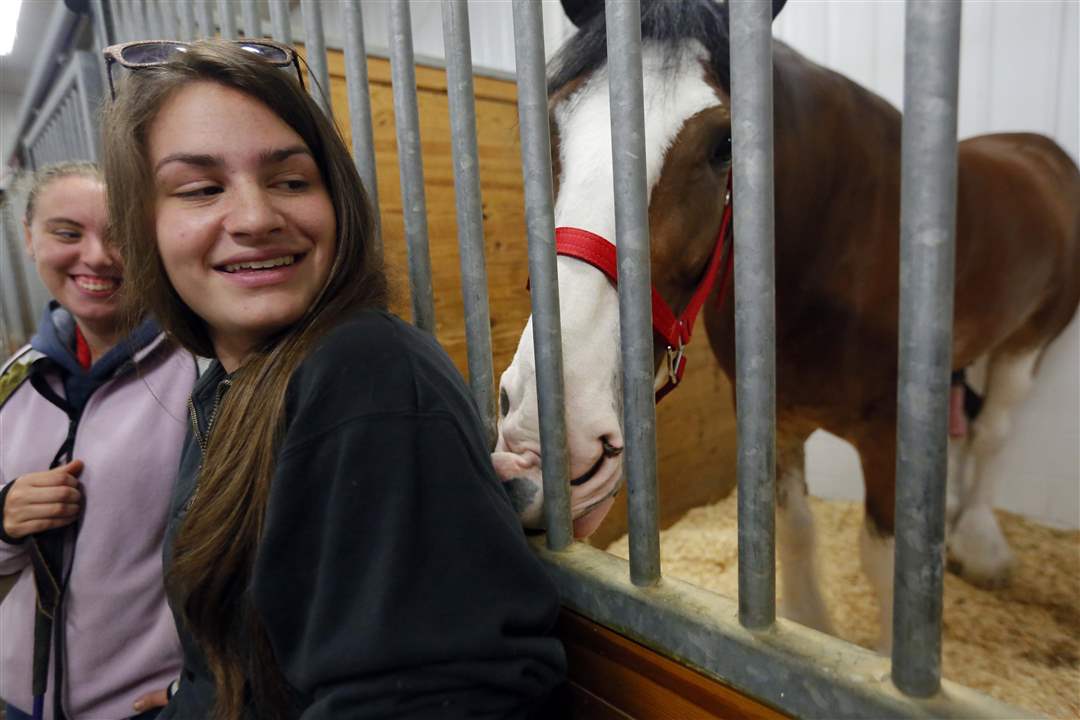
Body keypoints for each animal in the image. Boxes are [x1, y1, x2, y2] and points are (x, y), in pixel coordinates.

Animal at [492, 0, 1080, 651]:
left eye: (725, 143)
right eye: (552, 120)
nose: (541, 445)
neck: (834, 239)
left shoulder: (890, 428)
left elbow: (885, 561)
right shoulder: (773, 413)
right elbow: (793, 527)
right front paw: (809, 628)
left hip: (1030, 343)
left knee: (994, 431)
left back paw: (981, 546)